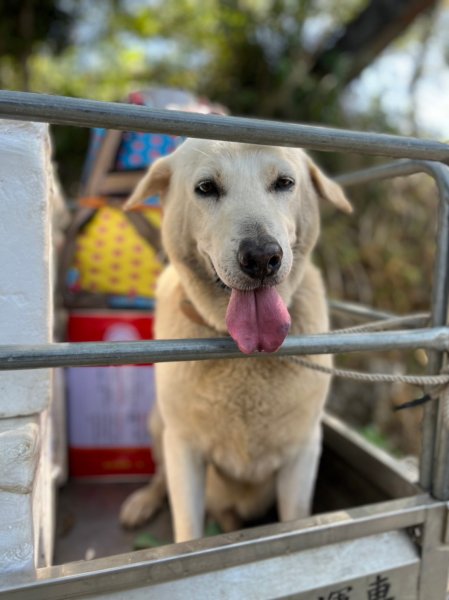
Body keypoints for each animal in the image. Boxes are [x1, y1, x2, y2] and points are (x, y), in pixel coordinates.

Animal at [119, 138, 350, 540]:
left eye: (284, 183)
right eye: (206, 187)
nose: (261, 258)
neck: (245, 355)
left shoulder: (303, 451)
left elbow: (296, 517)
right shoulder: (184, 450)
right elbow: (188, 530)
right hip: (157, 424)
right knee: (161, 477)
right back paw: (143, 502)